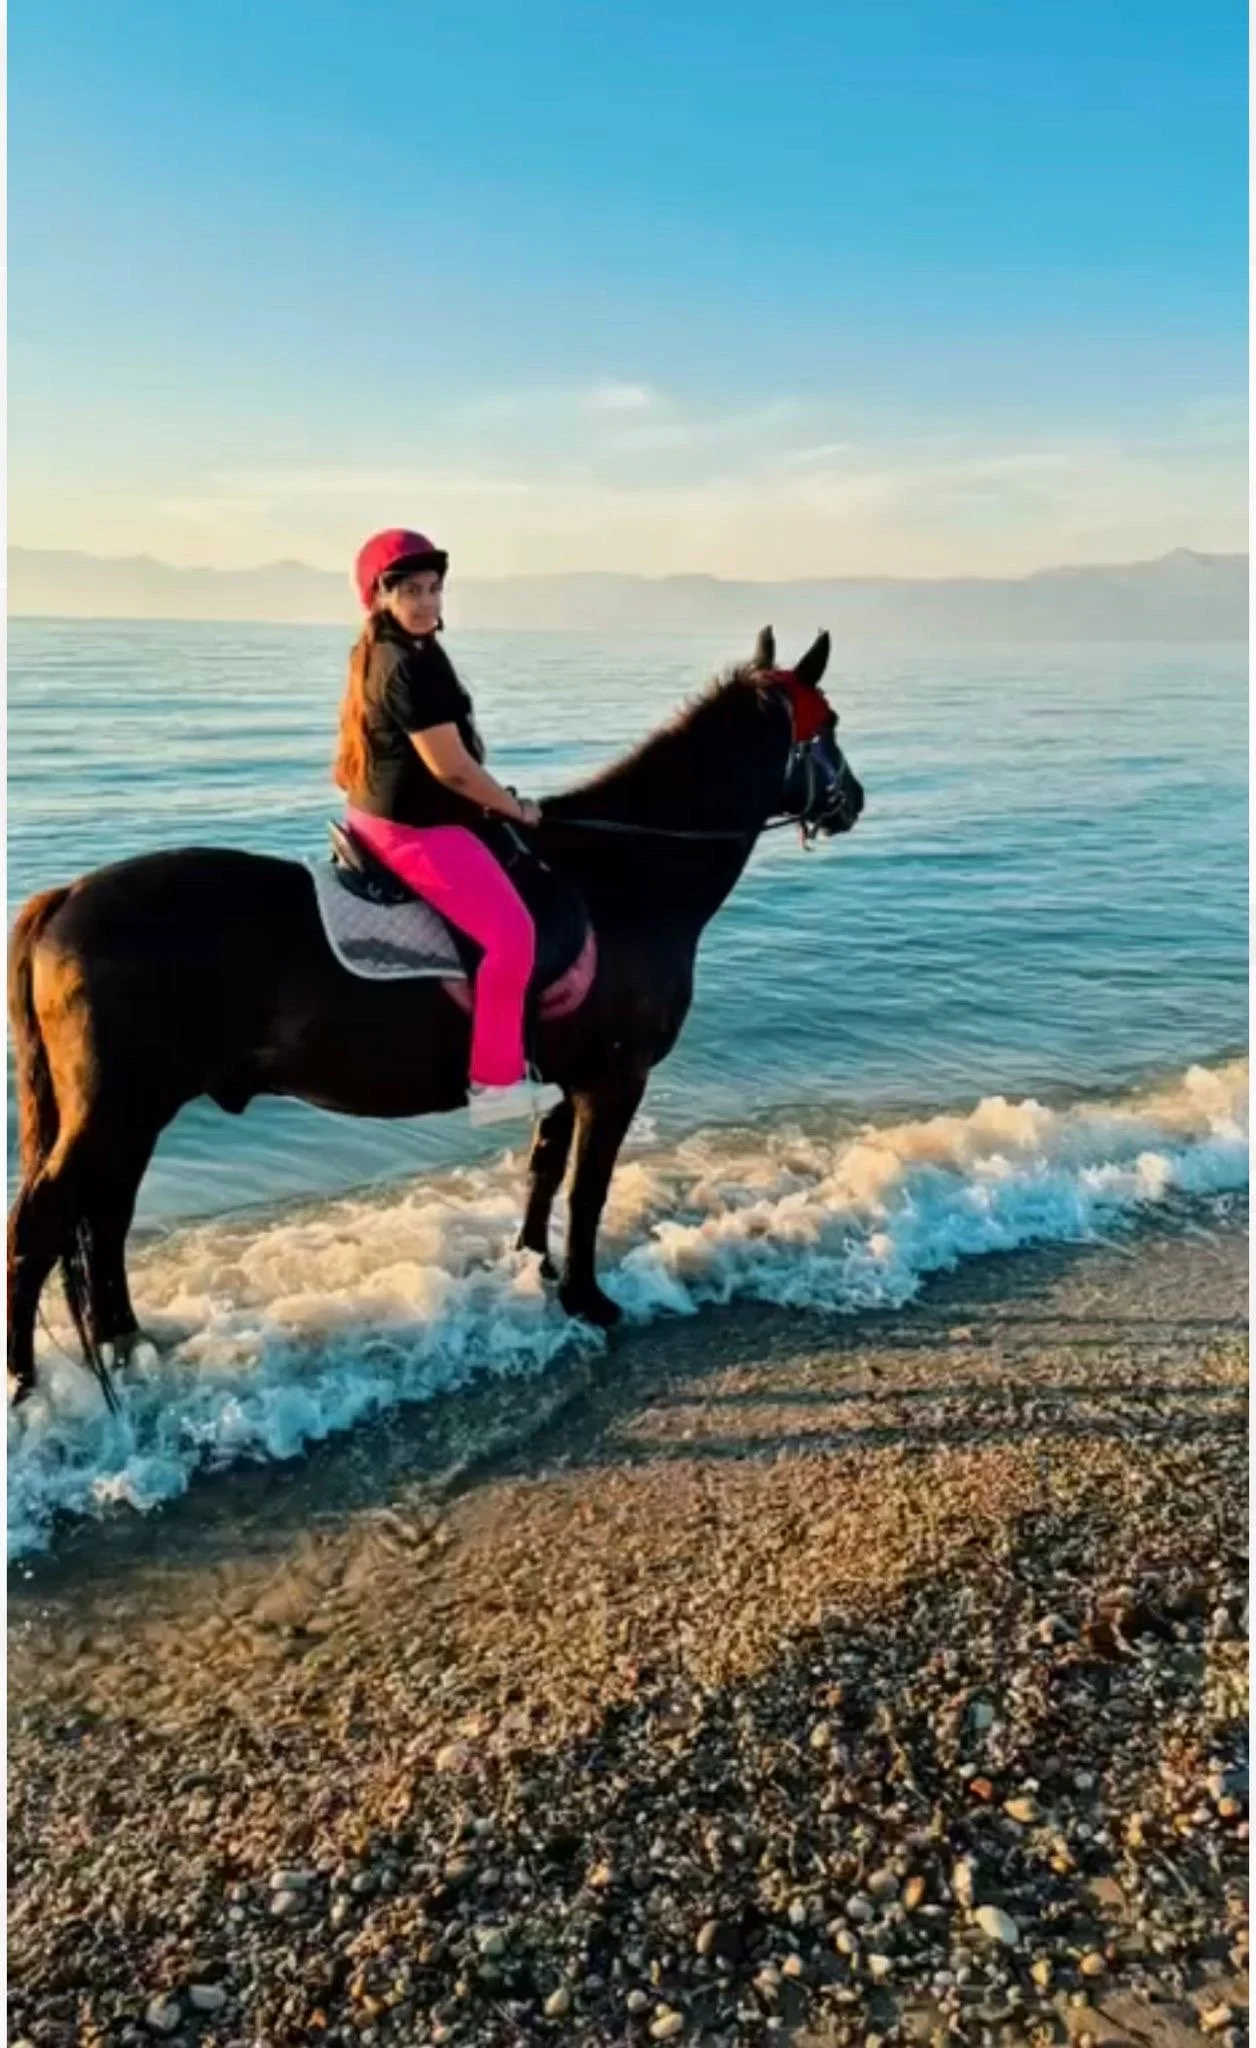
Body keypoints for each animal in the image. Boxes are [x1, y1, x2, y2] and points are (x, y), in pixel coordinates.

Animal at [7, 626, 863, 1406]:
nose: (853, 801)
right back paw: (25, 1383)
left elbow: (544, 1172)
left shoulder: (566, 1077)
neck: (625, 877)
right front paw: (587, 1300)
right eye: (828, 724)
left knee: (105, 1221)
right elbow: (588, 1189)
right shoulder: (614, 1079)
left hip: (131, 1114)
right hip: (117, 1111)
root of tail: (67, 898)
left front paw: (533, 1270)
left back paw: (127, 1345)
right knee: (41, 1225)